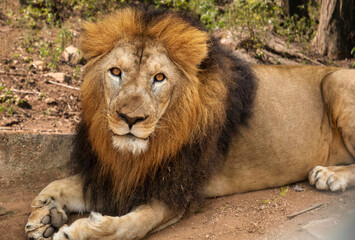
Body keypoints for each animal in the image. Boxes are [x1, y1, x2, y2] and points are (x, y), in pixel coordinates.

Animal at [25, 8, 355, 239]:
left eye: (159, 78)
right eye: (115, 72)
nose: (130, 119)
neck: (142, 152)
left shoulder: (175, 193)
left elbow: (126, 228)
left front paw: (75, 232)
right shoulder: (115, 175)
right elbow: (55, 185)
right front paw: (43, 216)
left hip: (336, 80)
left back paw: (329, 175)